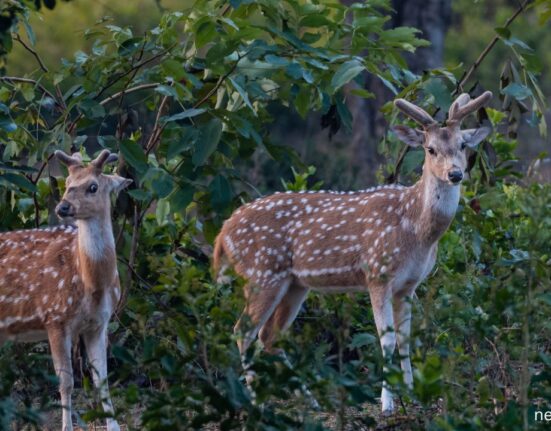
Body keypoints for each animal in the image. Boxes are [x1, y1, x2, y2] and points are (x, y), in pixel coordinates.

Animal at [0, 149, 130, 431]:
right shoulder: (54, 317)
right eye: (68, 183)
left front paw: (114, 426)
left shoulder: (99, 324)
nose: (63, 207)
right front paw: (66, 427)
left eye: (92, 186)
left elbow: (102, 381)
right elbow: (66, 383)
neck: (92, 284)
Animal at [213, 92, 494, 416]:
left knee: (268, 335)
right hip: (261, 272)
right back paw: (256, 401)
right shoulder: (377, 273)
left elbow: (405, 340)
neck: (416, 230)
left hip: (294, 284)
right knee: (242, 330)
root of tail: (223, 233)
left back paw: (309, 400)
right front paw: (387, 403)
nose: (455, 173)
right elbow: (386, 340)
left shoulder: (409, 285)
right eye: (430, 148)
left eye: (462, 144)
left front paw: (412, 394)